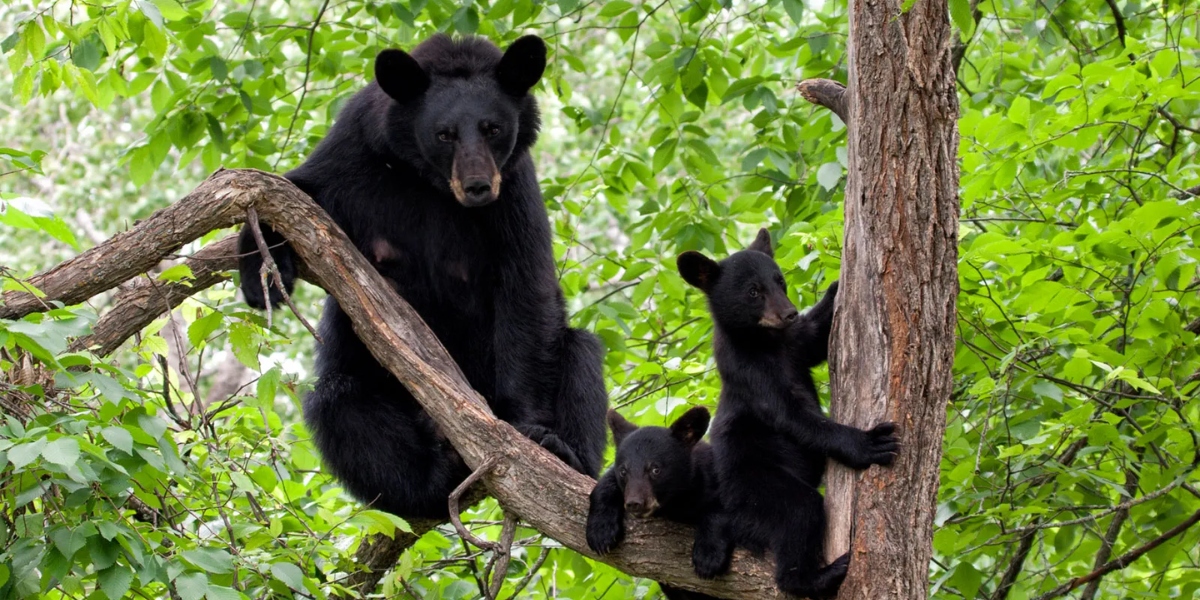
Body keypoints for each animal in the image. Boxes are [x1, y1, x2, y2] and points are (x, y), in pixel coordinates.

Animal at [235, 35, 609, 518]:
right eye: (444, 133)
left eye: (492, 128)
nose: (477, 187)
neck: (430, 182)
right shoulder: (355, 148)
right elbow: (294, 190)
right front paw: (260, 273)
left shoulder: (515, 188)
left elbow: (526, 287)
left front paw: (530, 432)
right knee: (340, 404)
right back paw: (428, 481)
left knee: (580, 354)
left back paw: (567, 453)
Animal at [583, 410, 715, 600]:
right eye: (623, 471)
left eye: (655, 469)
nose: (634, 503)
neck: (676, 501)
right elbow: (606, 483)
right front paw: (601, 532)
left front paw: (708, 556)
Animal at [676, 229, 902, 600]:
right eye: (753, 291)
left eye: (779, 281)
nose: (790, 313)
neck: (767, 342)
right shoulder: (749, 371)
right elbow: (793, 415)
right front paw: (868, 443)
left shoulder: (795, 345)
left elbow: (815, 339)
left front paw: (836, 286)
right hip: (755, 487)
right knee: (800, 511)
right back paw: (818, 576)